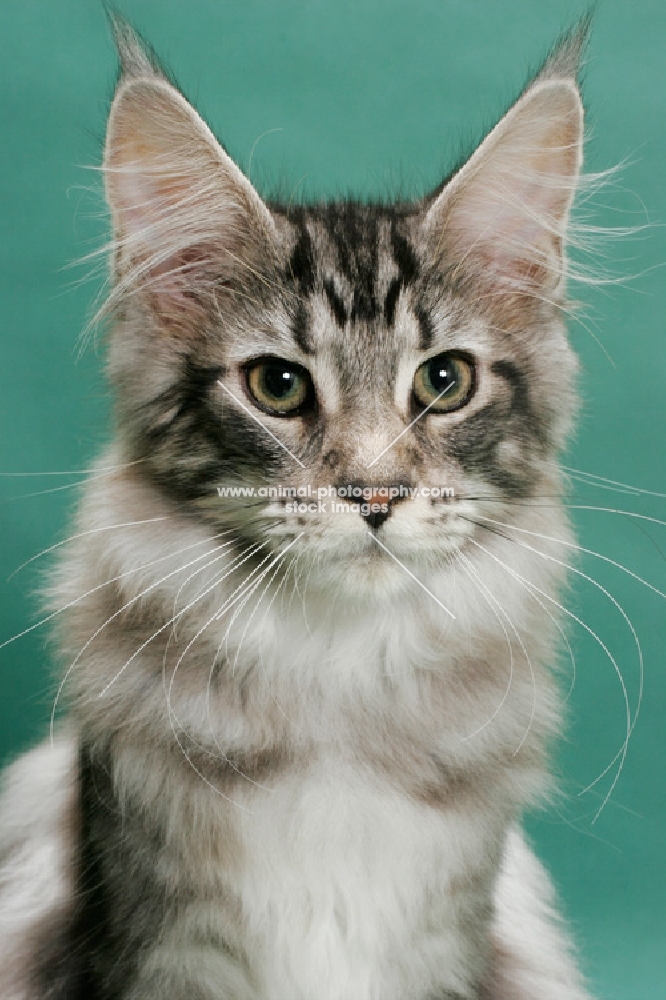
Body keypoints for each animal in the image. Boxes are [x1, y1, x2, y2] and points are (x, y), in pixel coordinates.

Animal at [0, 15, 592, 1000]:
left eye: (444, 382)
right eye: (277, 386)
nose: (376, 491)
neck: (336, 684)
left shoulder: (446, 937)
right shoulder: (159, 937)